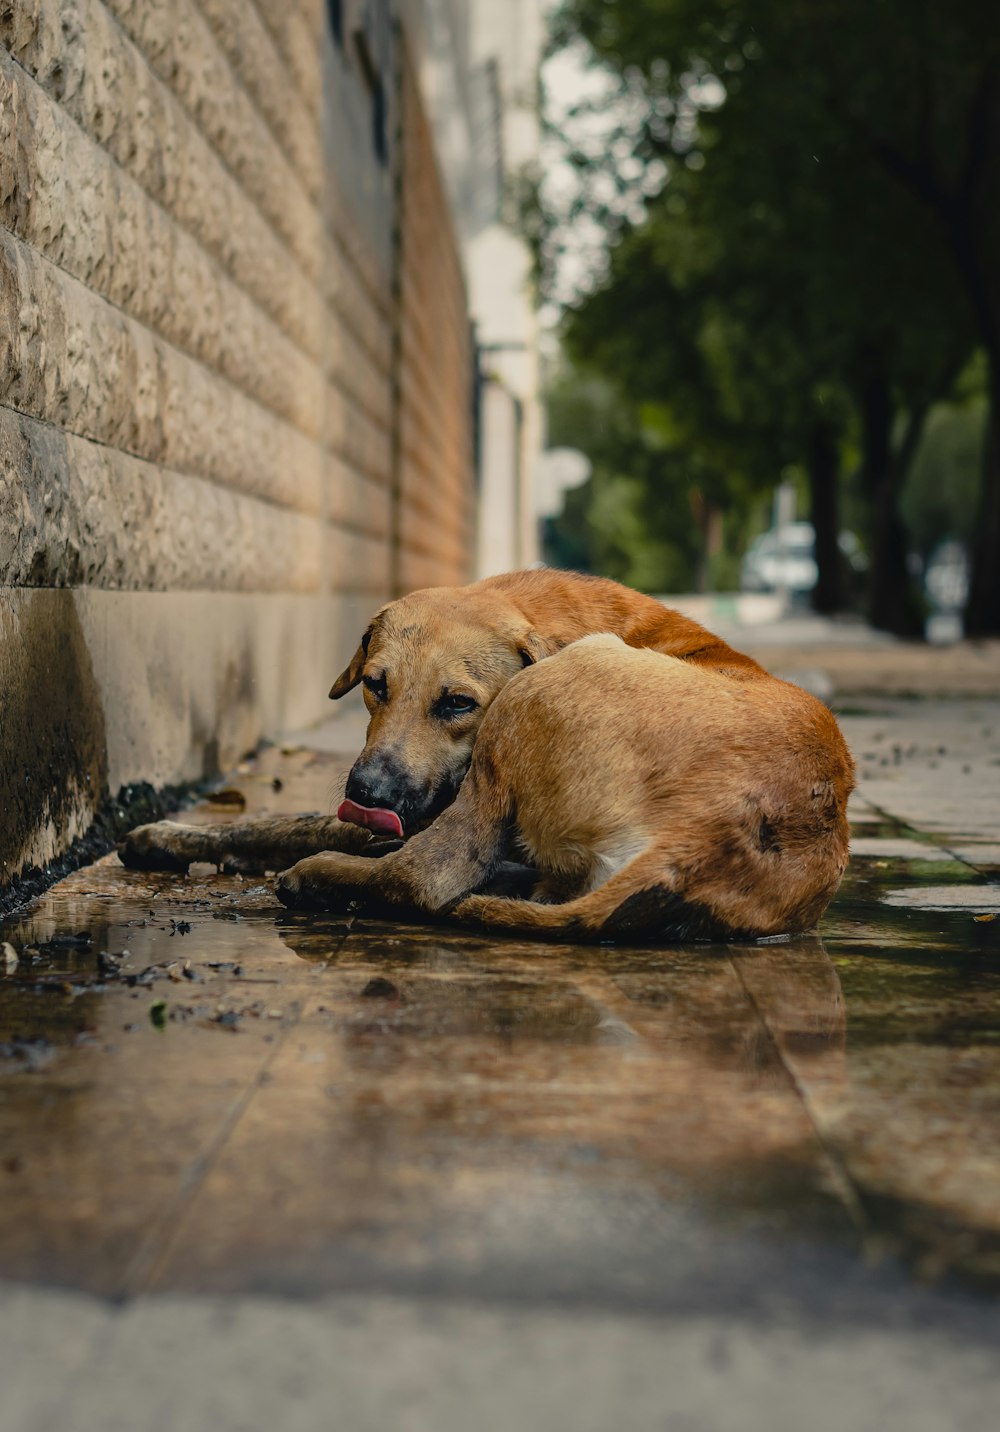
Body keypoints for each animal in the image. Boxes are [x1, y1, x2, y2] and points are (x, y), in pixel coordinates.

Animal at [118, 569, 848, 939]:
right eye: (376, 684)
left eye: (456, 704)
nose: (368, 794)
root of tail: (710, 834)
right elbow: (272, 823)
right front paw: (170, 838)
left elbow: (302, 829)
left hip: (526, 703)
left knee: (423, 878)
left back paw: (319, 881)